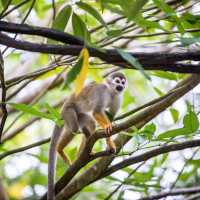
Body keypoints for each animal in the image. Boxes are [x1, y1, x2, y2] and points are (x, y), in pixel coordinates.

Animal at [47, 72, 126, 200]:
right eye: (117, 81)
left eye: (123, 82)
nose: (121, 86)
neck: (111, 91)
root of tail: (62, 109)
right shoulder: (101, 91)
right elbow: (96, 111)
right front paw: (107, 126)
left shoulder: (118, 98)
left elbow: (110, 116)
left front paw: (110, 143)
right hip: (68, 111)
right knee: (74, 128)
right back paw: (59, 149)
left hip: (80, 115)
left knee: (90, 123)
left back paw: (82, 151)